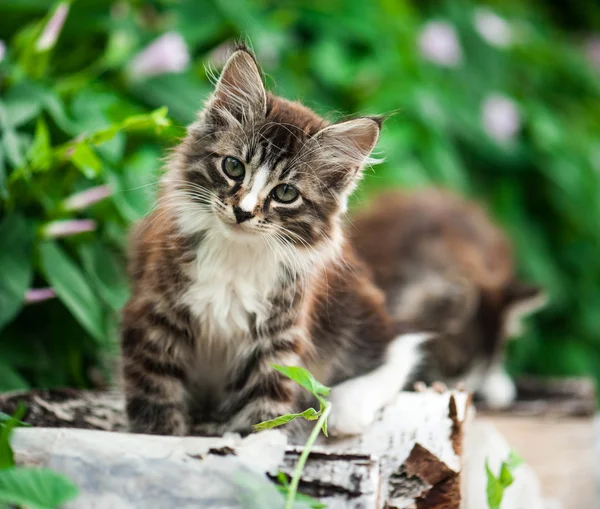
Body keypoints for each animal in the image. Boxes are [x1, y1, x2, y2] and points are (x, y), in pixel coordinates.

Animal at [119, 45, 424, 436]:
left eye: (286, 193)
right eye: (233, 167)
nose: (243, 212)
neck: (236, 253)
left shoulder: (278, 337)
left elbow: (267, 407)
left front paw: (257, 443)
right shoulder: (155, 313)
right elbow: (155, 392)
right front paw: (161, 434)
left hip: (355, 310)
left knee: (393, 353)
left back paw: (346, 409)